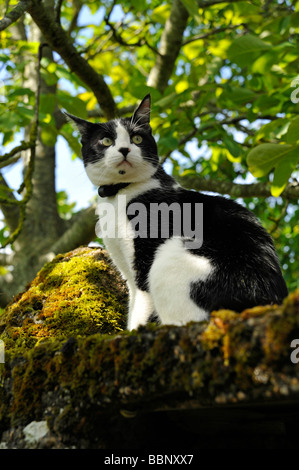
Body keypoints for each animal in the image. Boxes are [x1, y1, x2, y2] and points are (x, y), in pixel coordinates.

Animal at [67, 94, 288, 330]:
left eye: (137, 138)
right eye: (106, 141)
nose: (125, 149)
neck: (119, 193)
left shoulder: (145, 260)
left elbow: (141, 306)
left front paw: (135, 331)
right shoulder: (125, 266)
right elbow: (133, 302)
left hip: (169, 259)